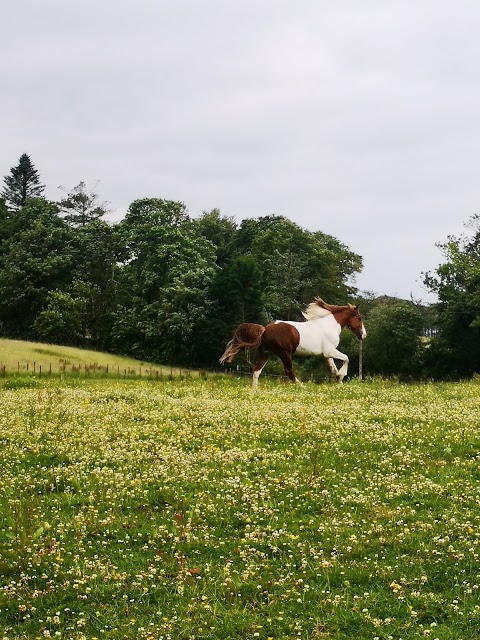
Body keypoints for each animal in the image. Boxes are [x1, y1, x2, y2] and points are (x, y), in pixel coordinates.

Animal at [219, 296, 366, 390]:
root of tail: (265, 329)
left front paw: (339, 383)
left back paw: (255, 391)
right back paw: (303, 386)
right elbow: (346, 358)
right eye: (359, 318)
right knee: (289, 371)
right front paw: (342, 376)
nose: (363, 335)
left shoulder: (326, 355)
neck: (330, 325)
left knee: (256, 371)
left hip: (266, 353)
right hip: (285, 353)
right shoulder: (329, 351)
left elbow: (333, 369)